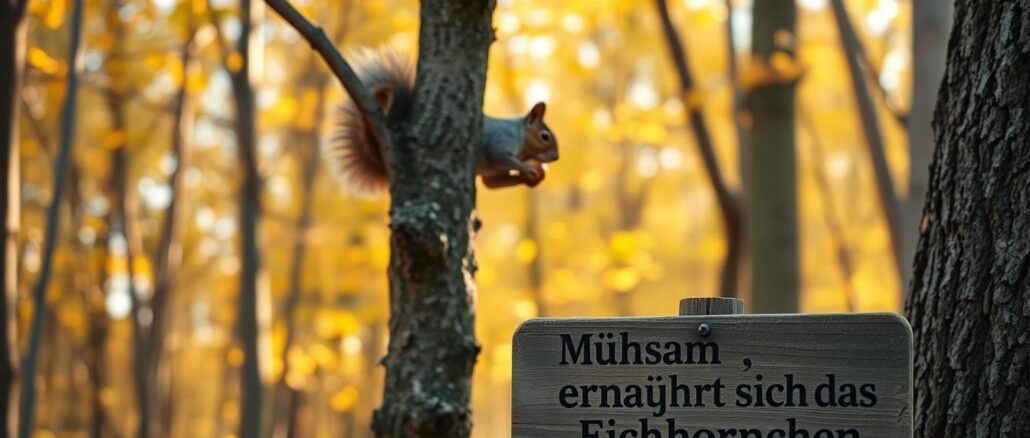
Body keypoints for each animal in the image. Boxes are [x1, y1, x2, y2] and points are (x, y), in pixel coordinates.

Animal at [326, 48, 559, 195]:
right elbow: (501, 156)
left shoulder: (493, 174)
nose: (556, 157)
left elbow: (492, 183)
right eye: (544, 136)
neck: (520, 137)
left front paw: (531, 177)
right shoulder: (501, 142)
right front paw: (527, 169)